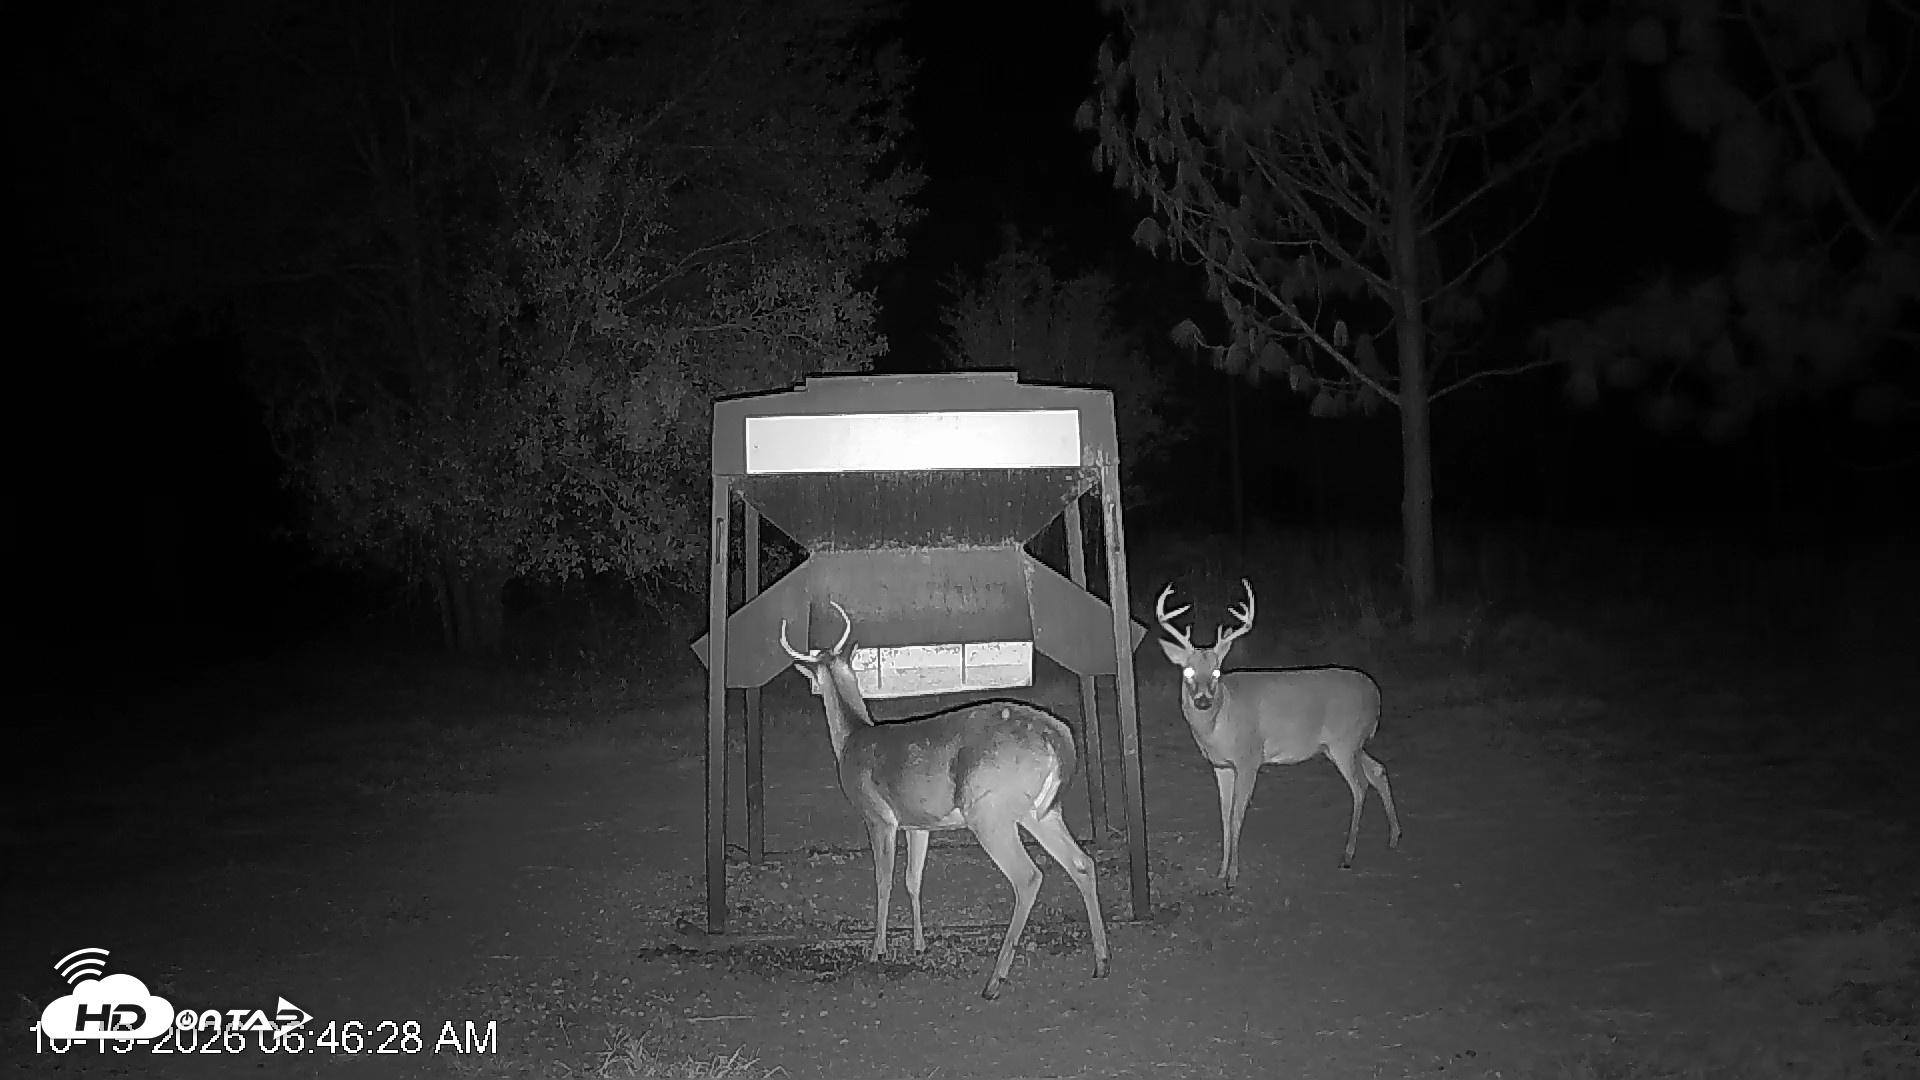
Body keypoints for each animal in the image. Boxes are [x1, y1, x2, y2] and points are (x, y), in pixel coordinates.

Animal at [779, 601, 1109, 1000]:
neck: (852, 739)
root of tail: (1057, 735)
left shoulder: (878, 817)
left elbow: (883, 880)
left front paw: (877, 950)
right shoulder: (918, 823)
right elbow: (913, 879)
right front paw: (919, 945)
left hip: (989, 811)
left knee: (1028, 876)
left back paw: (994, 982)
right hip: (1041, 811)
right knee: (1082, 862)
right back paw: (1101, 962)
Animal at [1155, 579, 1402, 891]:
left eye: (1216, 671)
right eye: (1187, 670)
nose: (1202, 700)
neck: (1219, 724)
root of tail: (1376, 694)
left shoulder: (1249, 758)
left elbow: (1237, 815)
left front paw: (1232, 875)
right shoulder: (1221, 765)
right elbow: (1224, 816)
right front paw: (1220, 871)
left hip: (1345, 741)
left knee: (1360, 785)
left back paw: (1347, 855)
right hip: (1344, 745)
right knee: (1378, 770)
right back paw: (1394, 836)